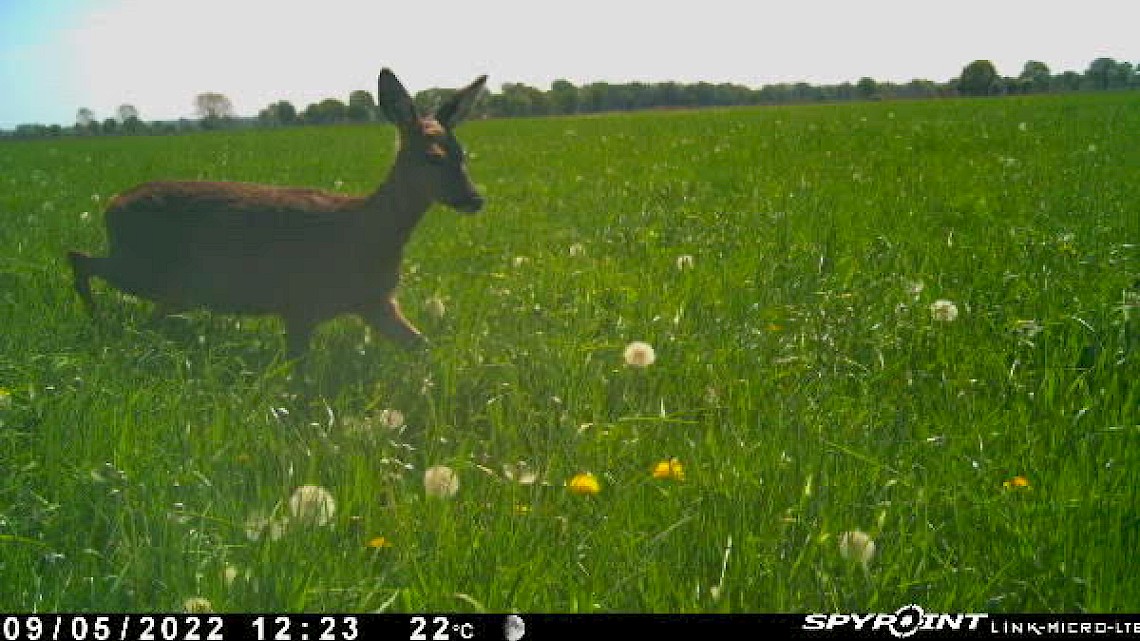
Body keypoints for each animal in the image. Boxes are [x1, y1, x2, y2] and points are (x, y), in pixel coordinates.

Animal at [66, 69, 485, 362]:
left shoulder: (375, 302)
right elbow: (299, 376)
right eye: (433, 157)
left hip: (170, 286)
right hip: (145, 266)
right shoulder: (300, 302)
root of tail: (111, 205)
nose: (475, 199)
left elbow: (423, 346)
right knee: (78, 257)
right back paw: (96, 320)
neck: (366, 229)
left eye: (462, 153)